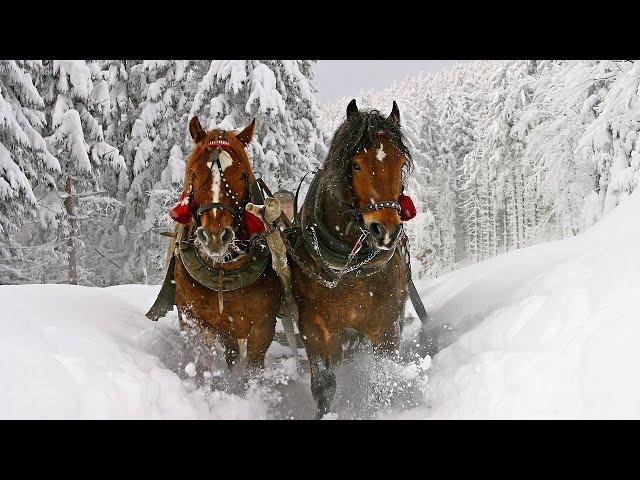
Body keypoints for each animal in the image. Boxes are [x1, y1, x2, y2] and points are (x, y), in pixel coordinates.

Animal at [155, 116, 280, 378]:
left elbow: (253, 369)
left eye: (242, 175)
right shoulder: (194, 318)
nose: (214, 235)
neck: (224, 271)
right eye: (194, 173)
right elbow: (202, 362)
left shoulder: (263, 325)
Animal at [286, 99, 416, 418]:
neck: (350, 269)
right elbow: (324, 384)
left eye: (400, 164)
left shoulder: (386, 325)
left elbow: (384, 376)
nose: (385, 230)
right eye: (356, 164)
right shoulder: (314, 327)